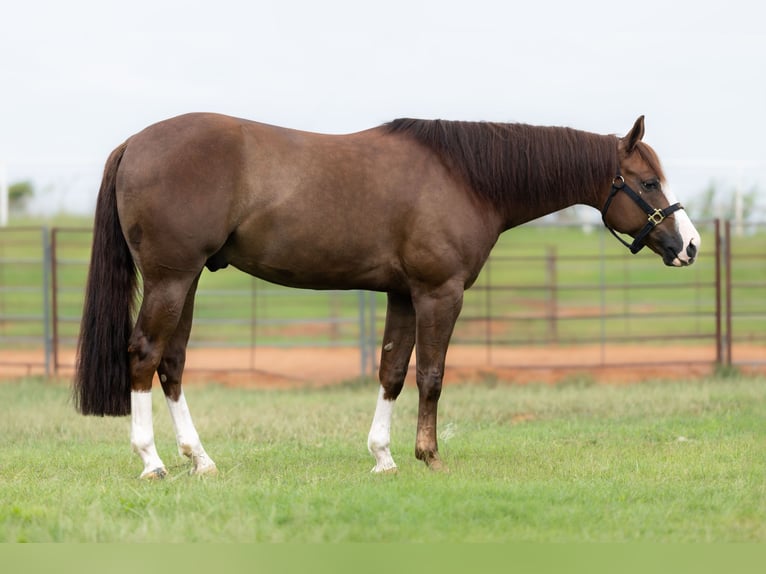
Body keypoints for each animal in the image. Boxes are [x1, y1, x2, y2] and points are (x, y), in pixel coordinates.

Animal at [74, 113, 700, 478]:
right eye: (648, 183)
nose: (690, 245)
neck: (465, 176)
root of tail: (134, 143)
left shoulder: (402, 294)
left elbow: (393, 372)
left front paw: (384, 457)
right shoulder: (439, 294)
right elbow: (431, 376)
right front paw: (429, 455)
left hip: (187, 280)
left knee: (172, 363)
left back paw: (200, 460)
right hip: (171, 278)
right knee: (144, 356)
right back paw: (152, 462)